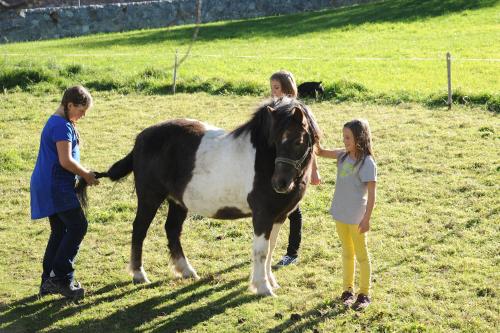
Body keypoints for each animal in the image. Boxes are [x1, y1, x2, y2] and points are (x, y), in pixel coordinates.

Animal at [78, 96, 320, 296]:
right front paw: (262, 287)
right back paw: (139, 275)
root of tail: (140, 139)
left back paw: (186, 270)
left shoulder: (278, 217)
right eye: (276, 141)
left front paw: (271, 282)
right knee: (139, 230)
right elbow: (261, 252)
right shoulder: (262, 216)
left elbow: (270, 251)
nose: (280, 183)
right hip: (150, 198)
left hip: (177, 201)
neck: (263, 161)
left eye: (298, 141)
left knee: (172, 230)